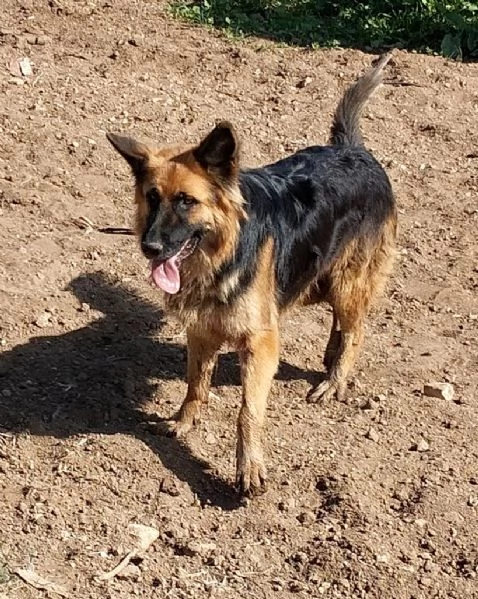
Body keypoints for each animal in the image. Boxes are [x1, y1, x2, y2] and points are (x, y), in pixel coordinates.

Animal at [106, 55, 398, 496]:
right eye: (152, 198)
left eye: (187, 202)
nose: (150, 247)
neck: (222, 255)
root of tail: (353, 149)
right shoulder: (201, 329)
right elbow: (195, 384)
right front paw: (183, 422)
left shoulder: (261, 344)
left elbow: (247, 412)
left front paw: (249, 468)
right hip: (321, 279)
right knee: (341, 321)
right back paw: (330, 356)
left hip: (347, 280)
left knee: (356, 329)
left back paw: (335, 378)